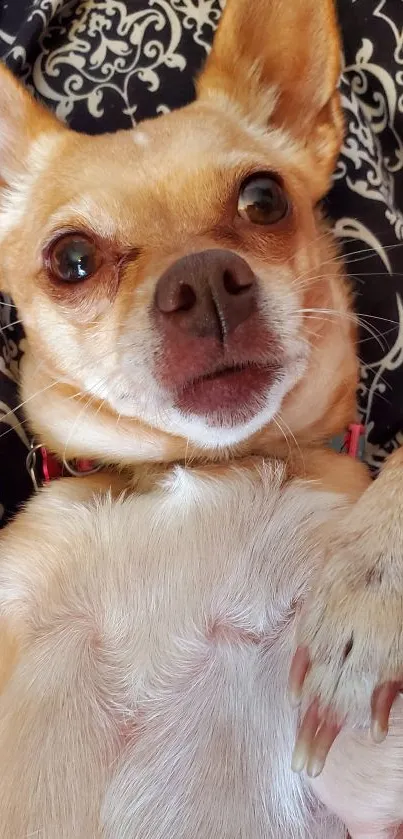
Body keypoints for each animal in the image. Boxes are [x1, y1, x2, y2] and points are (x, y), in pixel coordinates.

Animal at [0, 0, 403, 836]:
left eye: (264, 199)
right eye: (71, 259)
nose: (205, 280)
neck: (193, 466)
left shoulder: (369, 782)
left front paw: (367, 592)